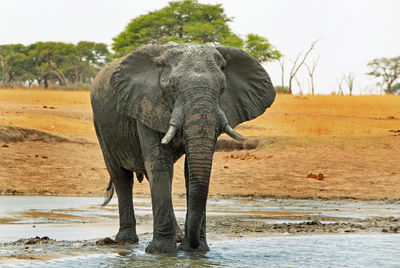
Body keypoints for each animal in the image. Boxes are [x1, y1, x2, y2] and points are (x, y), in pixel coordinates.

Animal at [90, 42, 276, 253]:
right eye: (172, 87)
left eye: (222, 88)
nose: (190, 246)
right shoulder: (146, 104)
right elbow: (159, 164)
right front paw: (161, 251)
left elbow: (190, 171)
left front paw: (198, 250)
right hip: (101, 127)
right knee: (122, 177)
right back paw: (126, 240)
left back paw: (178, 237)